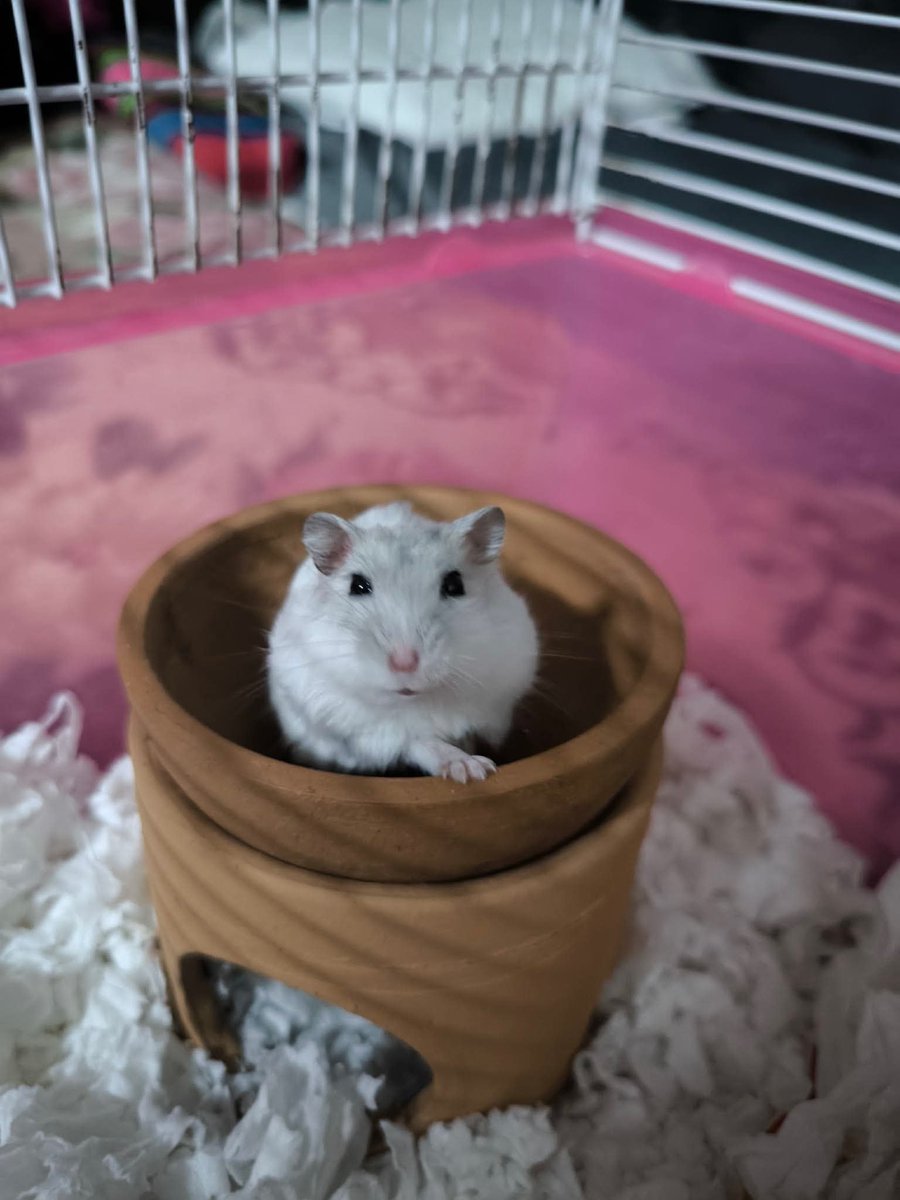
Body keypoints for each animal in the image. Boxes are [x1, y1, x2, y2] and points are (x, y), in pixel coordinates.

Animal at [267, 501, 538, 782]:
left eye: (455, 584)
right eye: (358, 585)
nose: (405, 664)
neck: (413, 700)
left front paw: (477, 769)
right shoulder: (355, 725)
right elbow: (418, 742)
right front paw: (472, 771)